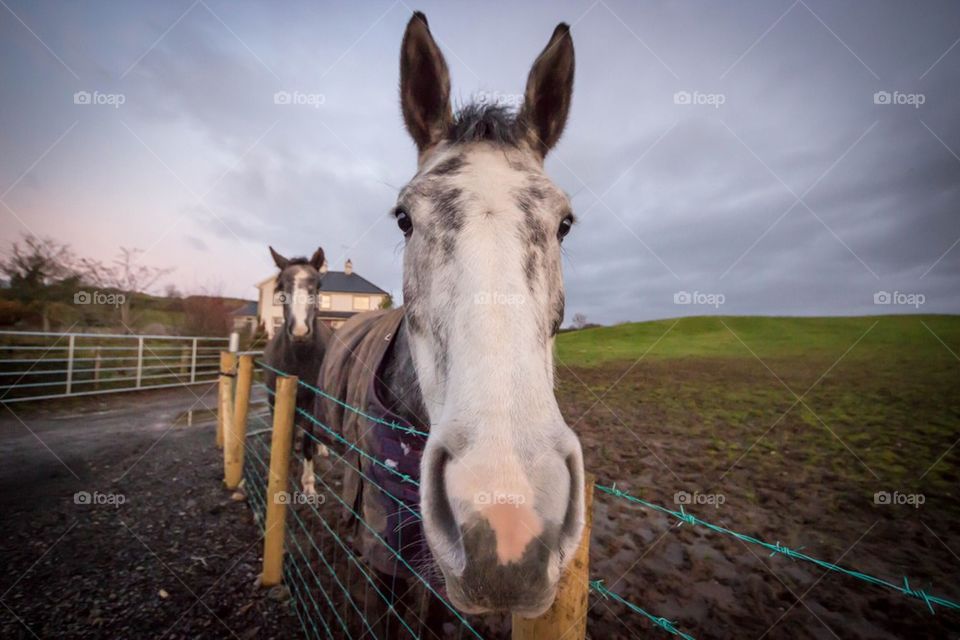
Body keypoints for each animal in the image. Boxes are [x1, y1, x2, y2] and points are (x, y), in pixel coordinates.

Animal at [262, 246, 332, 495]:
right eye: (280, 288)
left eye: (318, 286)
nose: (300, 331)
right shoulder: (274, 399)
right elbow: (285, 437)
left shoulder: (312, 401)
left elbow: (308, 443)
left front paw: (308, 484)